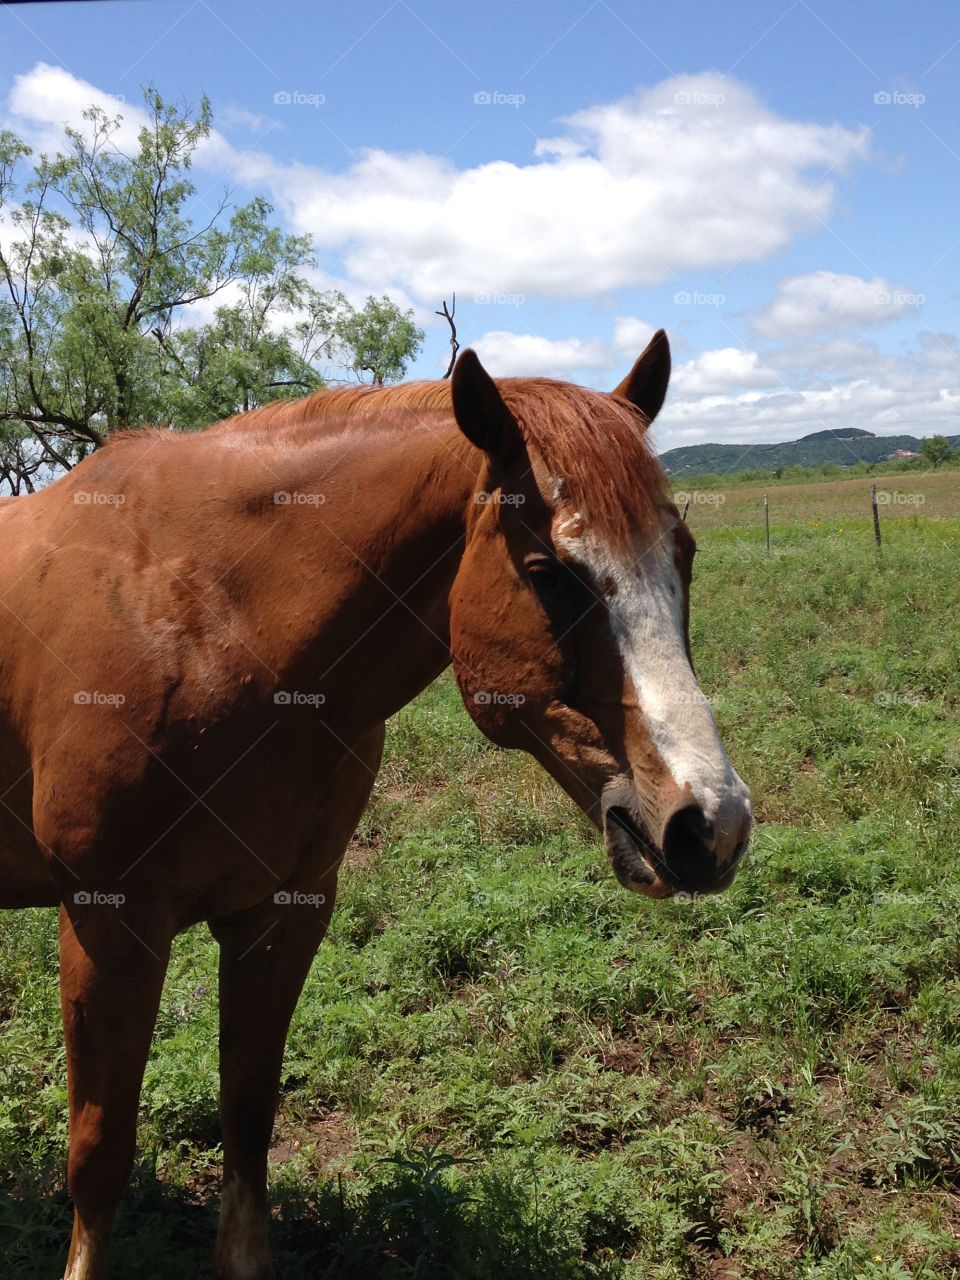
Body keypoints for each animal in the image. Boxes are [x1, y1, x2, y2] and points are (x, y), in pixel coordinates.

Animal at [0, 331, 751, 1279]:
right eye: (547, 573)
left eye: (683, 554)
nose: (712, 826)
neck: (207, 624)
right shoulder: (108, 922)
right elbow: (99, 1156)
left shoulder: (283, 914)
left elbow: (248, 1116)